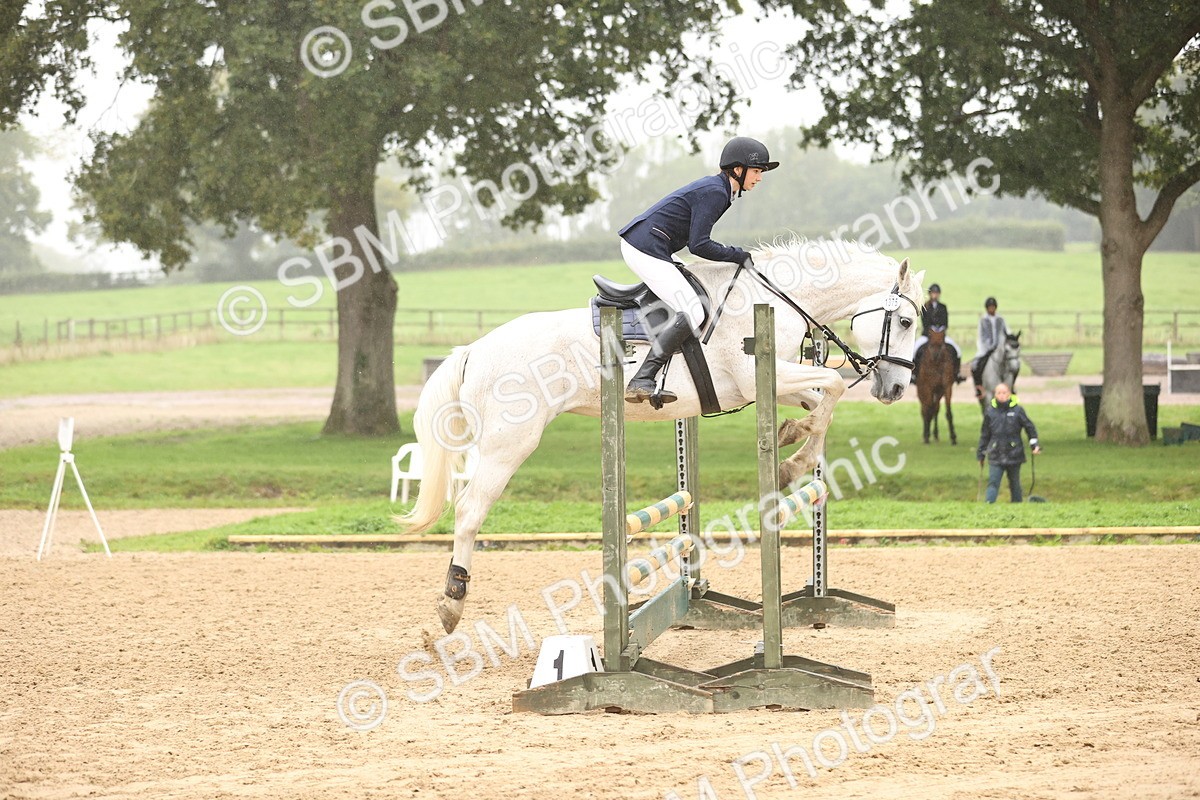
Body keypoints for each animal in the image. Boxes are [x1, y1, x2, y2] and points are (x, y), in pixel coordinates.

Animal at [398, 239, 925, 633]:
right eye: (904, 321)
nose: (896, 389)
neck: (778, 297)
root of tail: (474, 349)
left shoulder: (773, 380)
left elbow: (821, 403)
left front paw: (793, 444)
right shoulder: (758, 377)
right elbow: (833, 384)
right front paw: (792, 460)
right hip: (508, 443)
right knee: (469, 511)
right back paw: (451, 602)